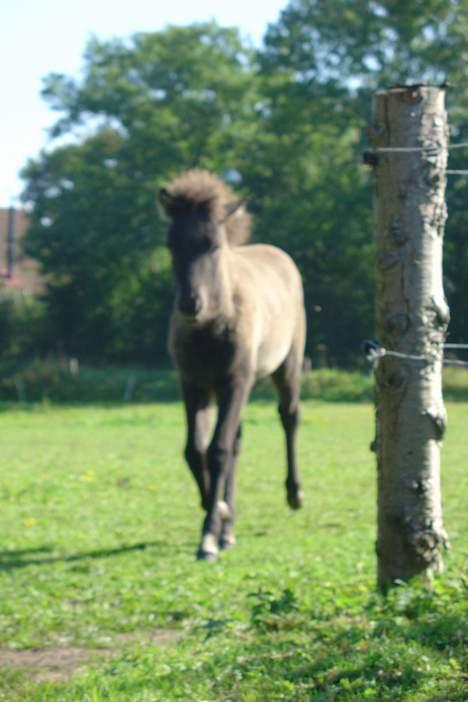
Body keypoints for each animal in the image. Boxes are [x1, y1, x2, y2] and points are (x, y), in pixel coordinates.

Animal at [160, 170, 308, 560]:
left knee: (289, 417)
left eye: (212, 245)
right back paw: (229, 526)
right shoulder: (194, 383)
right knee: (237, 442)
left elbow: (218, 450)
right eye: (171, 246)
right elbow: (195, 450)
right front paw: (219, 514)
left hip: (286, 366)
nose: (189, 304)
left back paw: (294, 493)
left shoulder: (235, 380)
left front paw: (211, 532)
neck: (213, 325)